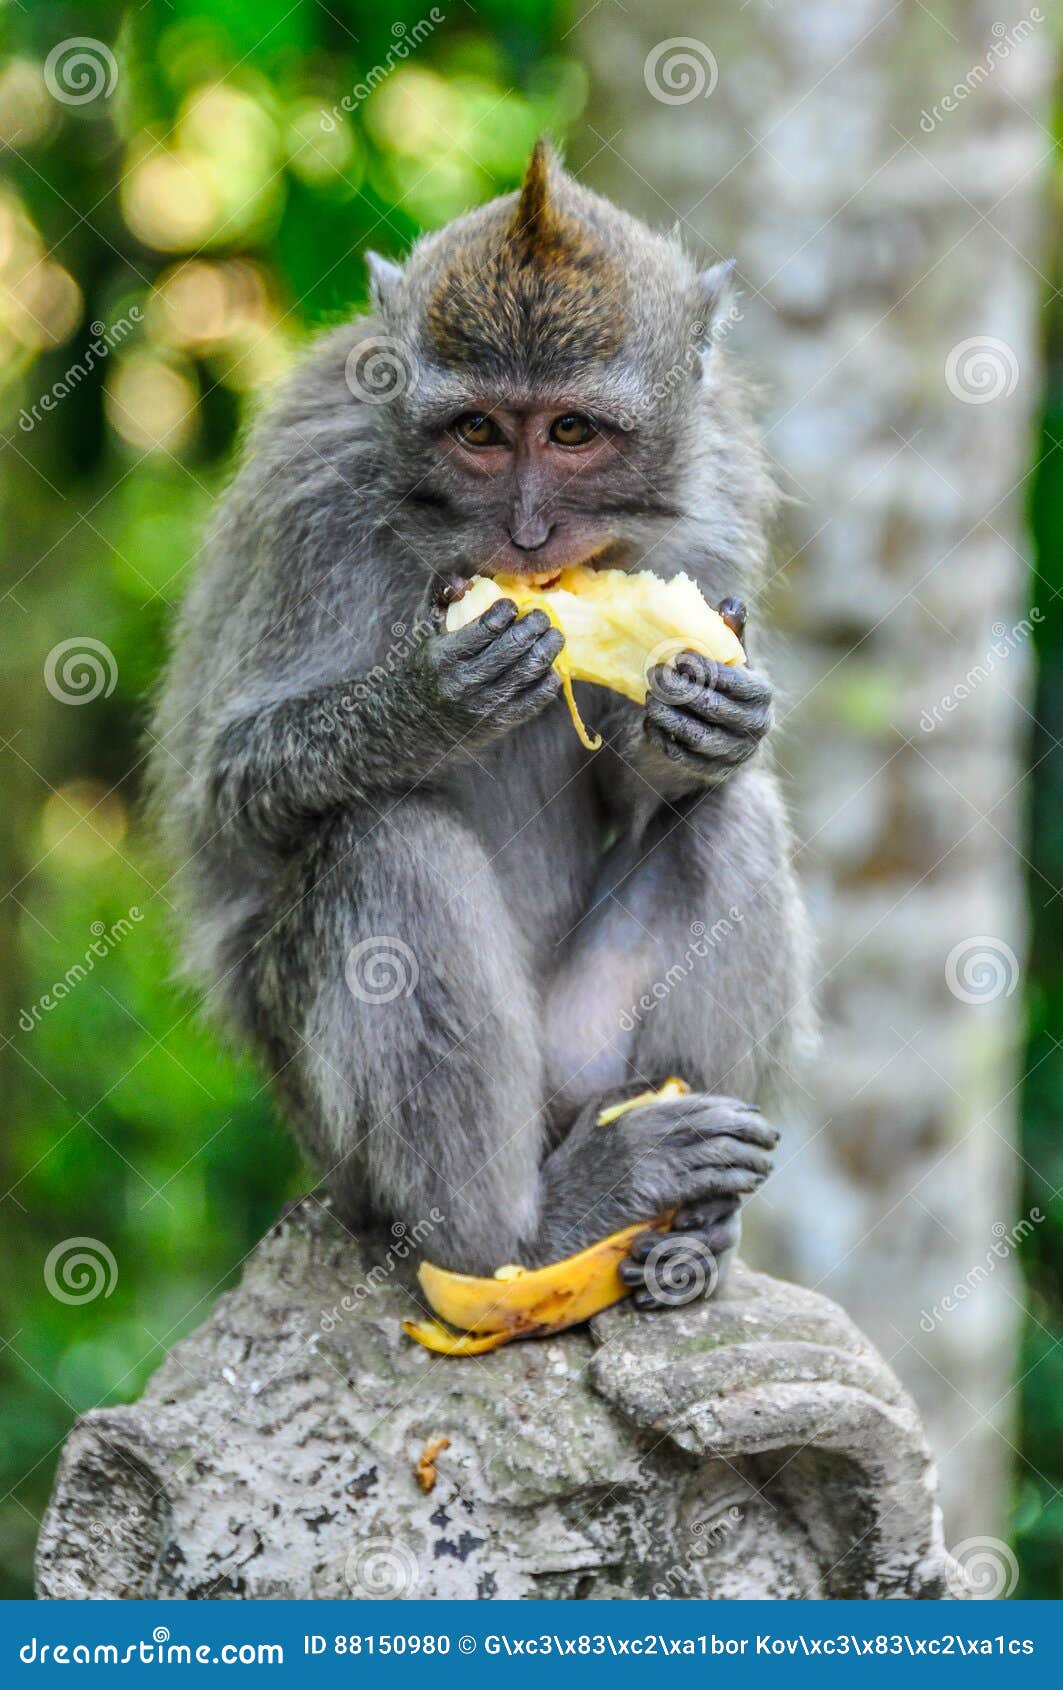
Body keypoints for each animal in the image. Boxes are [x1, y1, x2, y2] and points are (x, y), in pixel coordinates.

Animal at [148, 142, 813, 1310]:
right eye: (477, 433)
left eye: (573, 430)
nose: (528, 533)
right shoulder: (312, 490)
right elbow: (229, 786)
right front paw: (430, 701)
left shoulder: (719, 479)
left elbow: (668, 778)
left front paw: (703, 722)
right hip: (337, 1143)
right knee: (385, 843)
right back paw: (521, 1238)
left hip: (581, 1061)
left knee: (731, 817)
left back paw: (686, 1230)